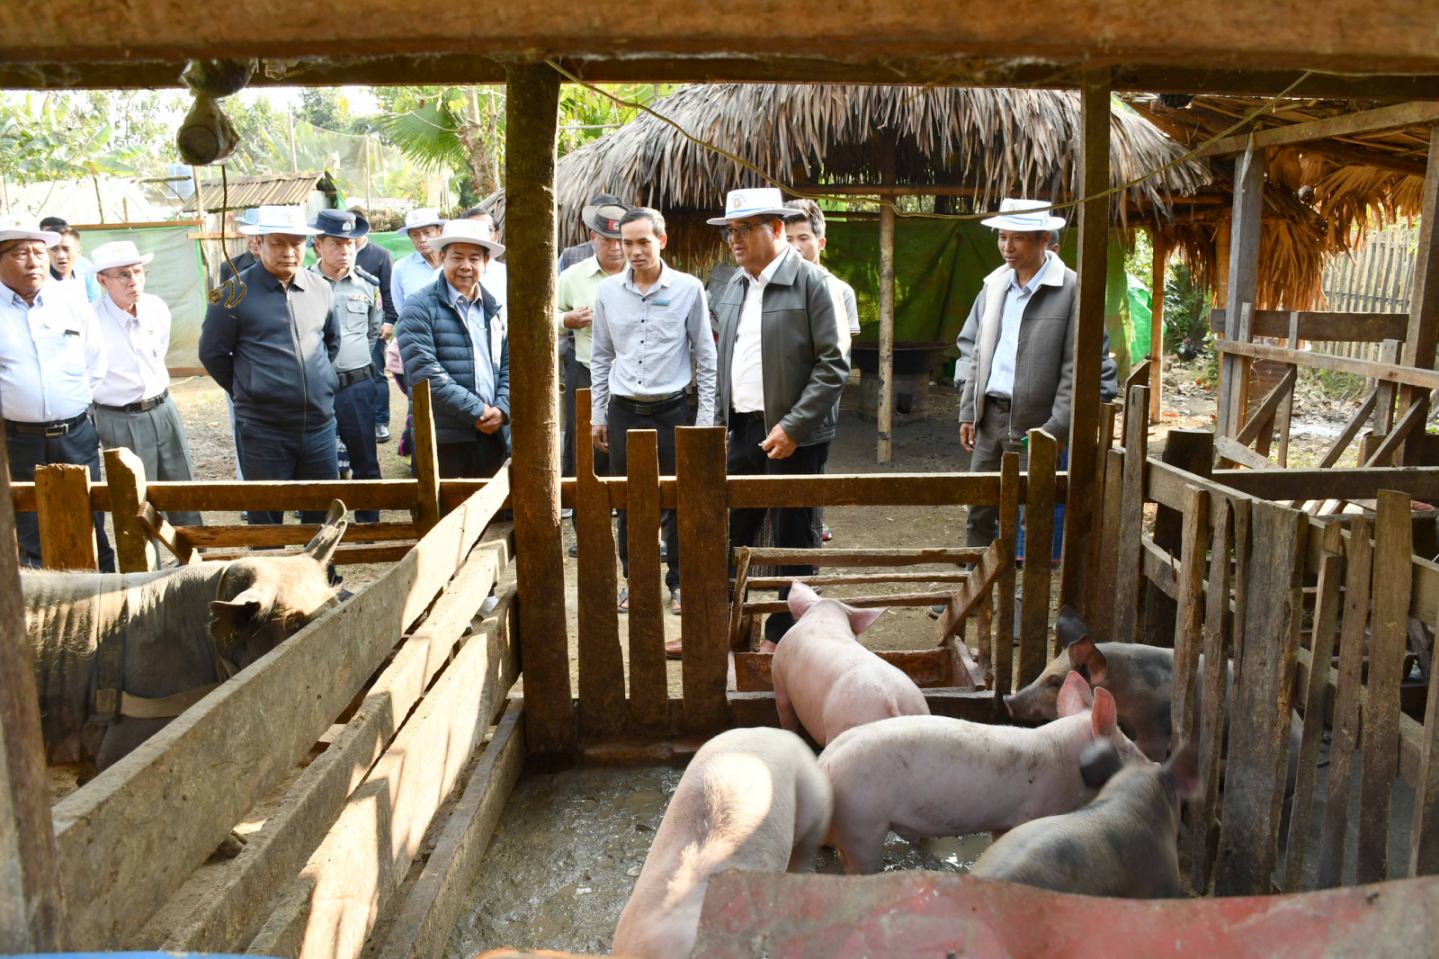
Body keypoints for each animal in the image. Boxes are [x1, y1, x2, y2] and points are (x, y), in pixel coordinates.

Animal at [770, 581, 929, 746]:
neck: (824, 620)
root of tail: (892, 700)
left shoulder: (779, 677)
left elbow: (786, 715)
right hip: (919, 711)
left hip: (845, 723)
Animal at [818, 671, 1148, 875]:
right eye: (1127, 748)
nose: (1153, 764)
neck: (1063, 759)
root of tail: (824, 764)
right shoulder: (1032, 811)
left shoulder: (1002, 821)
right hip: (864, 823)